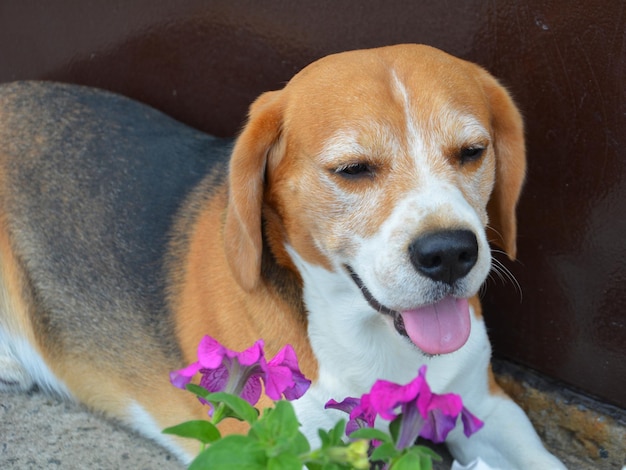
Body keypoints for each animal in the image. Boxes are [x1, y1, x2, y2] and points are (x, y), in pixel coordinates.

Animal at [0, 43, 564, 466]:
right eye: (353, 169)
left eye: (472, 152)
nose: (448, 253)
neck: (371, 339)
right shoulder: (272, 445)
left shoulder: (488, 406)